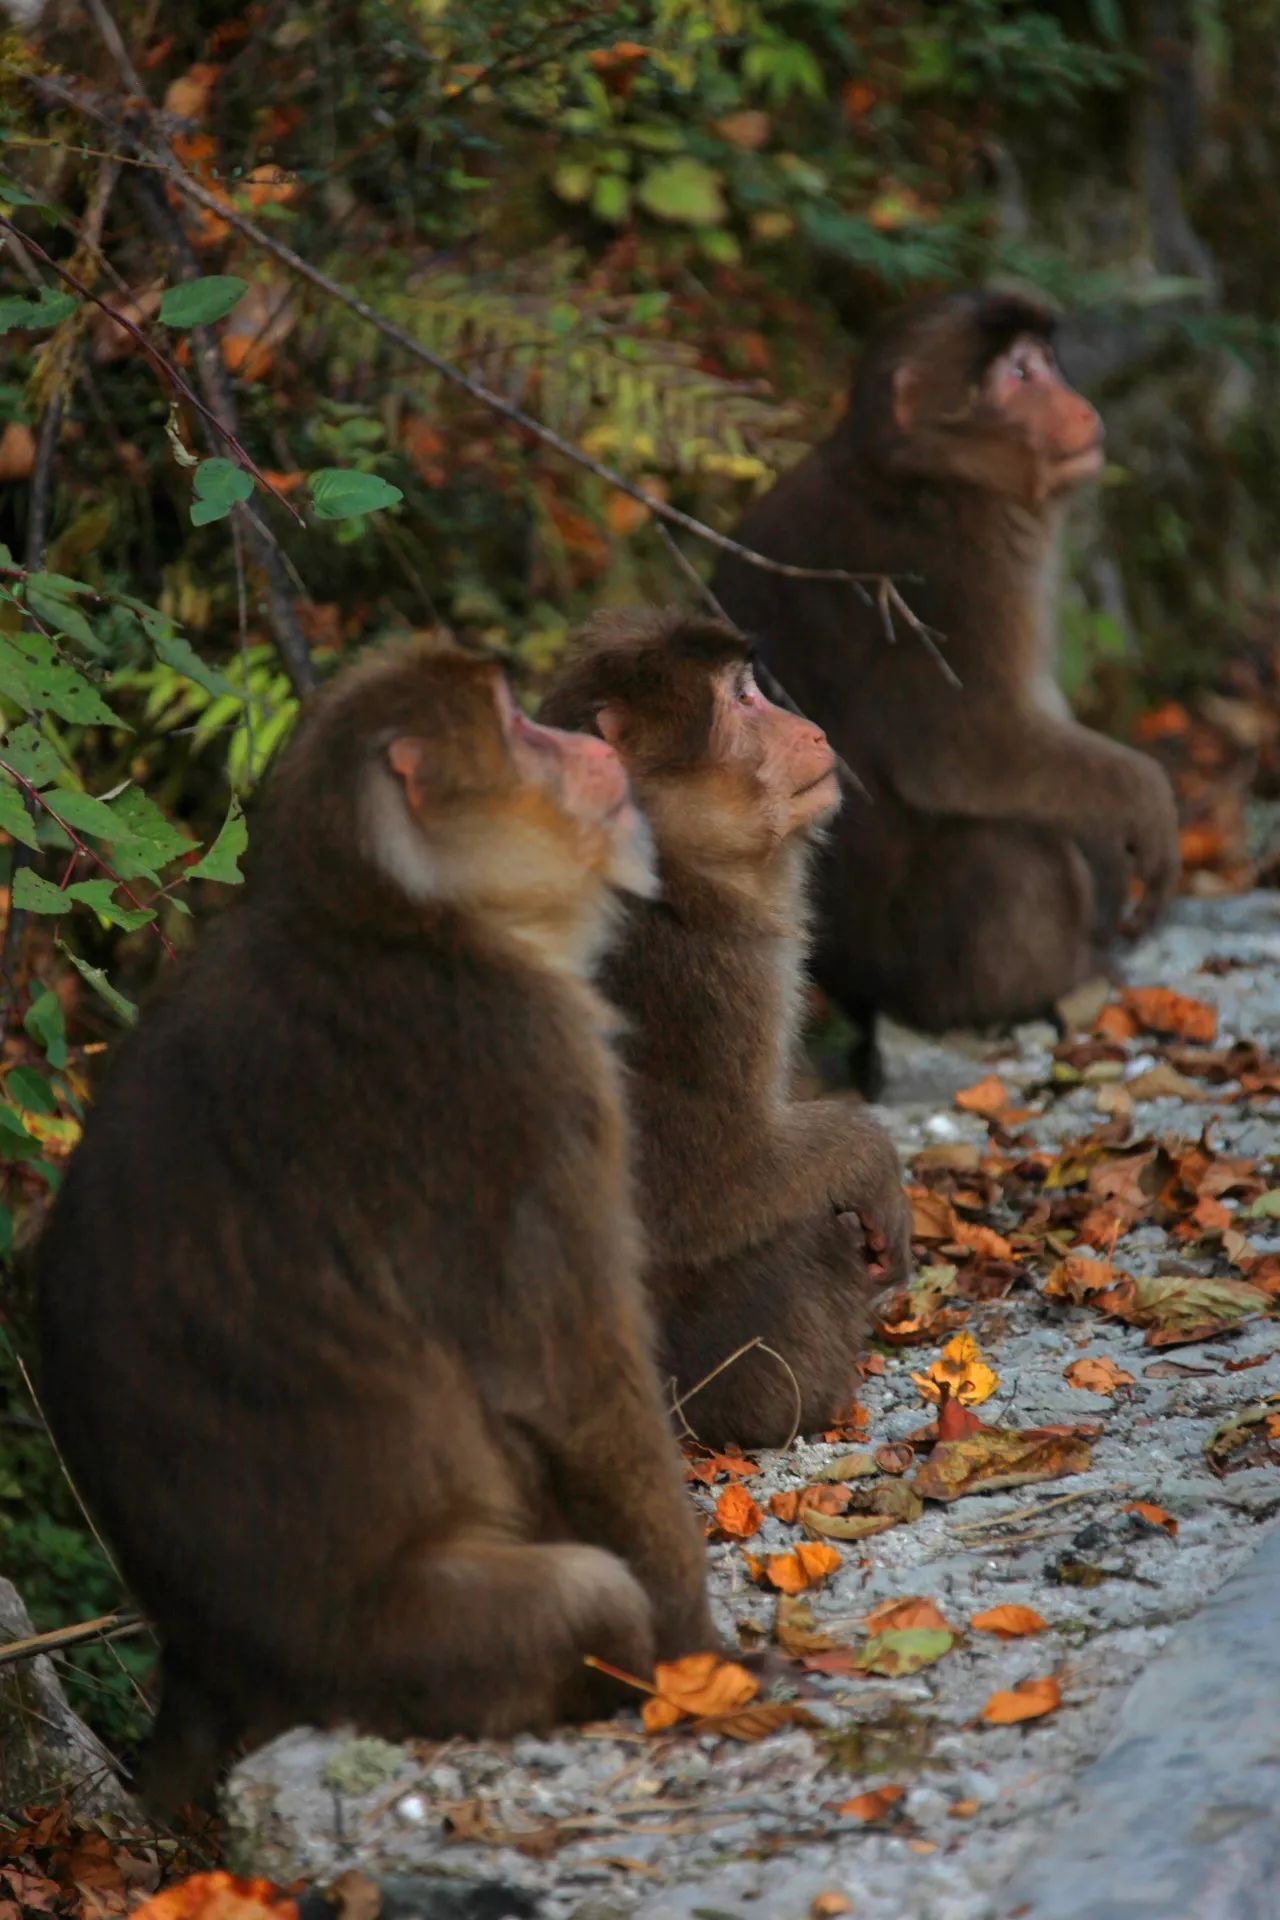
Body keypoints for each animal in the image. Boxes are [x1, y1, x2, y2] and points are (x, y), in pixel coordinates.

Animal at [37, 641, 721, 1797]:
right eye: (516, 725)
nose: (583, 741)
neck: (401, 918)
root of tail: (203, 1674)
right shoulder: (523, 1070)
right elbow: (567, 1386)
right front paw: (704, 1659)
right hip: (401, 1654)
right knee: (581, 1592)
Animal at [537, 618, 909, 1451]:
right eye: (742, 701)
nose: (812, 729)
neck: (665, 868)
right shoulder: (704, 979)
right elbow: (712, 1188)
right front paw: (873, 1162)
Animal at [710, 284, 1182, 1098]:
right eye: (1018, 377)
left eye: (1043, 363)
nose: (1080, 406)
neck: (914, 470)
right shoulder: (961, 562)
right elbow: (966, 756)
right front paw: (1144, 803)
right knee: (1004, 845)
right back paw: (1066, 979)